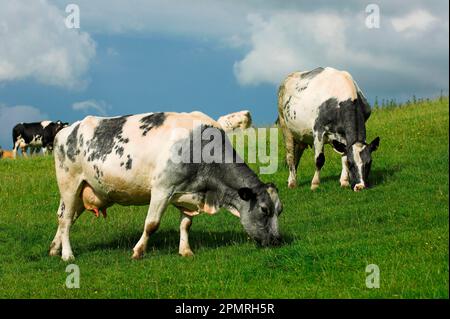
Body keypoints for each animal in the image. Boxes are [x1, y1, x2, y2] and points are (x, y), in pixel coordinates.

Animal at [49, 111, 282, 262]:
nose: (277, 241)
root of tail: (68, 129)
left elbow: (186, 224)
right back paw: (67, 255)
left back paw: (54, 248)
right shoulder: (162, 189)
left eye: (280, 210)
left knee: (63, 217)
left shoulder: (187, 193)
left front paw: (186, 251)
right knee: (67, 219)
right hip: (69, 183)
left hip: (84, 189)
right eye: (264, 210)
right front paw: (138, 251)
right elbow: (151, 224)